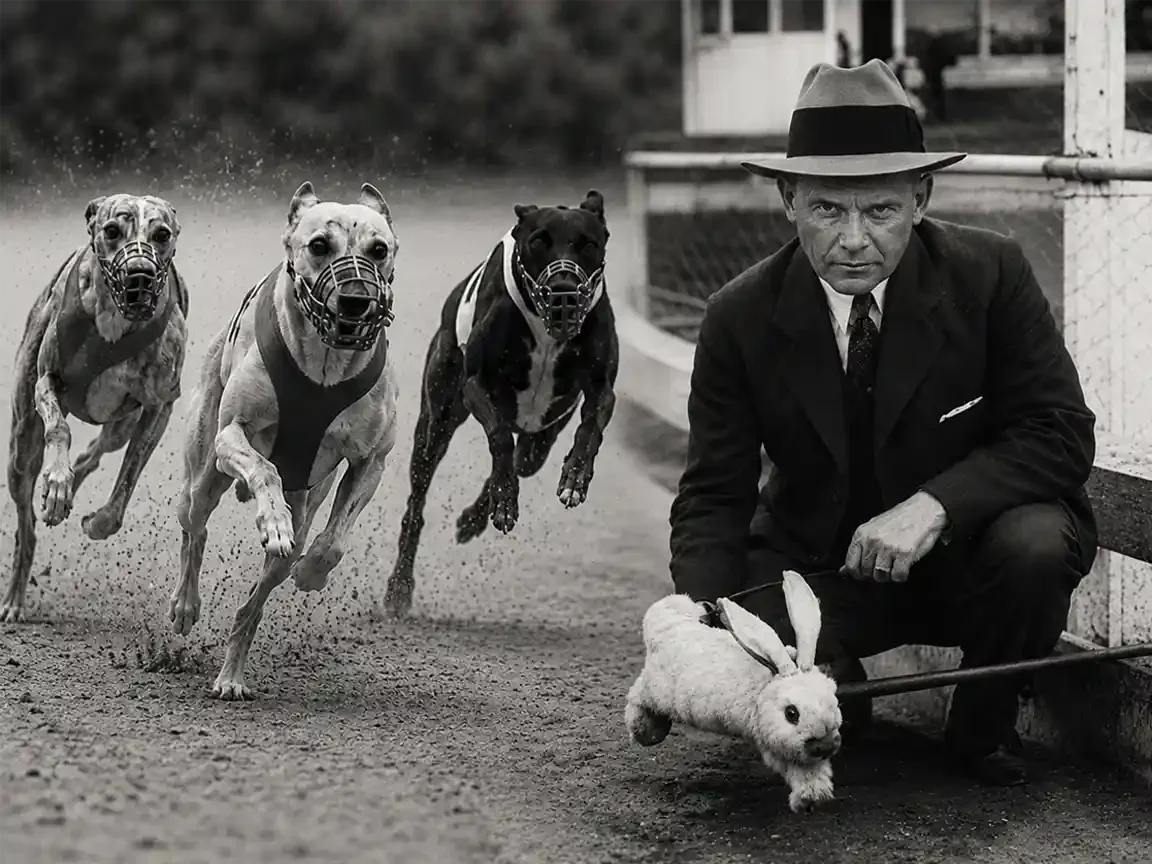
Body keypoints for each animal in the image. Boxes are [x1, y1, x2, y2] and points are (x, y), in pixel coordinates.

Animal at [624, 569, 843, 813]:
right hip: (654, 689)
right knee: (636, 701)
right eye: (791, 713)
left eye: (835, 702)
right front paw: (806, 801)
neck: (764, 689)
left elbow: (809, 773)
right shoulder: (773, 741)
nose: (826, 746)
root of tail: (666, 619)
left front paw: (812, 799)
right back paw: (646, 732)